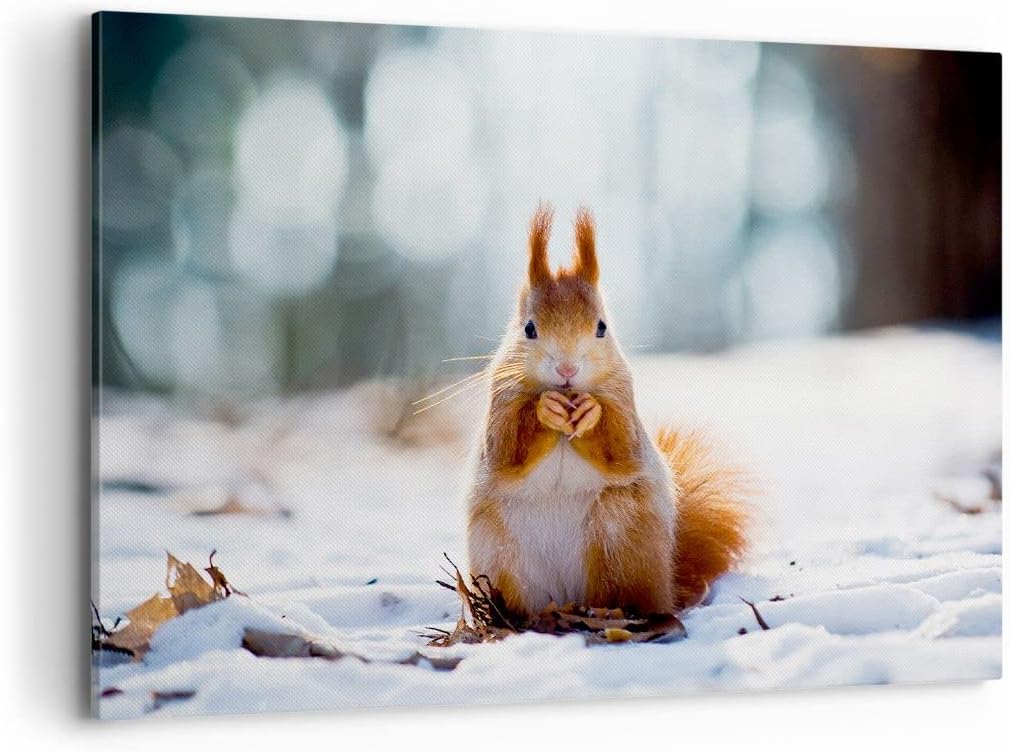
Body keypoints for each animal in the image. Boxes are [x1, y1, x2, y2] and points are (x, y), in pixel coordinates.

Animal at [466, 205, 749, 616]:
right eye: (529, 329)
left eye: (602, 327)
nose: (567, 370)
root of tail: (565, 597)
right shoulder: (500, 402)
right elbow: (506, 448)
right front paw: (544, 409)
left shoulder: (624, 402)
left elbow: (622, 448)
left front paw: (591, 413)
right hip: (499, 553)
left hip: (620, 535)